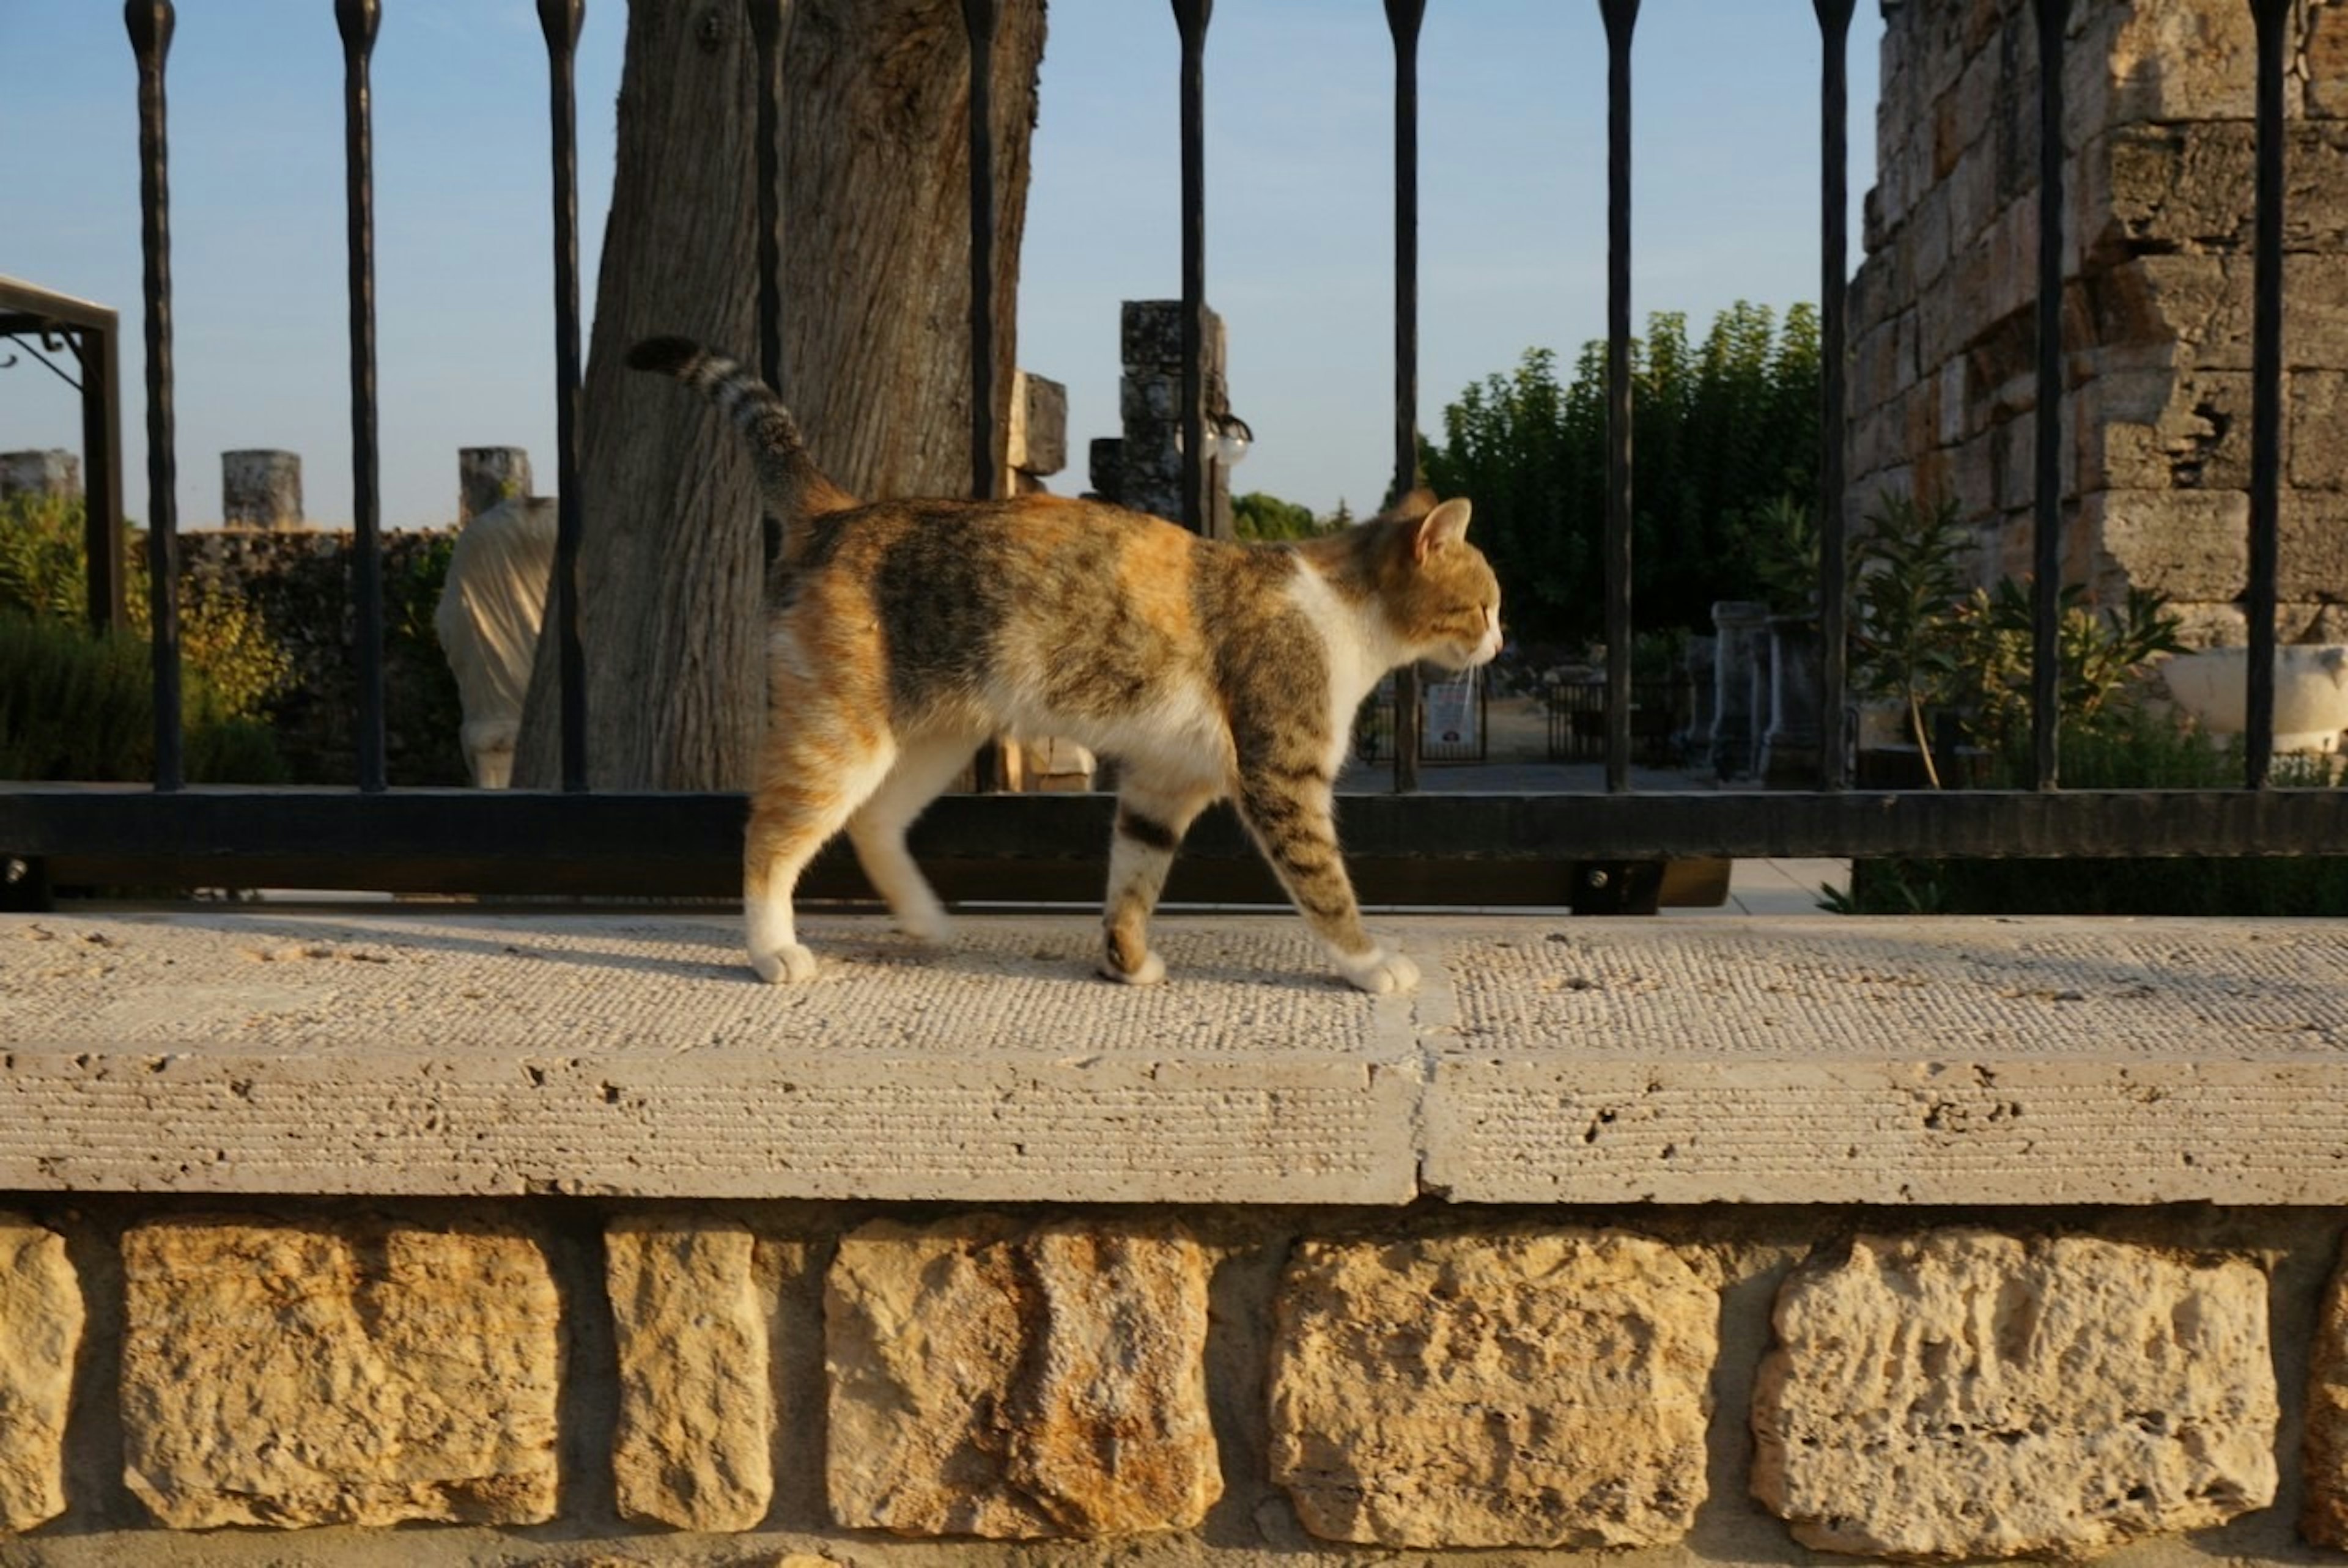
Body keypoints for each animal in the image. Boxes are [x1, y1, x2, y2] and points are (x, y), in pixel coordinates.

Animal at [629, 337, 1502, 990]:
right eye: (1487, 603)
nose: (1499, 641)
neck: (1338, 610)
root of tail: (839, 510)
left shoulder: (1164, 782)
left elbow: (1135, 876)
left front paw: (1126, 961)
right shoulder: (1282, 779)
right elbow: (1323, 884)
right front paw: (1370, 964)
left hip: (935, 737)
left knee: (875, 822)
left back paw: (925, 918)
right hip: (844, 735)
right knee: (772, 834)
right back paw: (773, 950)